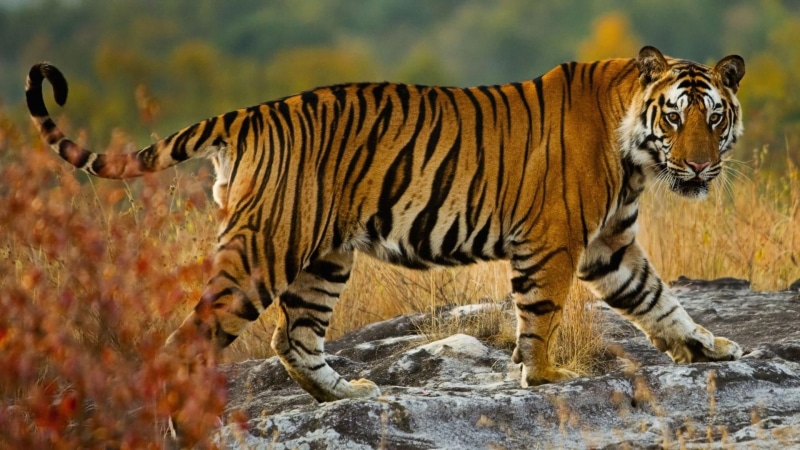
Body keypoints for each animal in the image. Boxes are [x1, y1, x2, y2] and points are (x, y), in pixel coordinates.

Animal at [26, 45, 745, 402]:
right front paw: (543, 379)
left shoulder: (608, 245)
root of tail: (249, 114)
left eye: (714, 118)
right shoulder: (554, 241)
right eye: (675, 117)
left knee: (293, 338)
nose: (700, 168)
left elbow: (658, 299)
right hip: (265, 249)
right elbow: (540, 316)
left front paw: (707, 347)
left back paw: (346, 395)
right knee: (191, 340)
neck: (636, 155)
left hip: (322, 258)